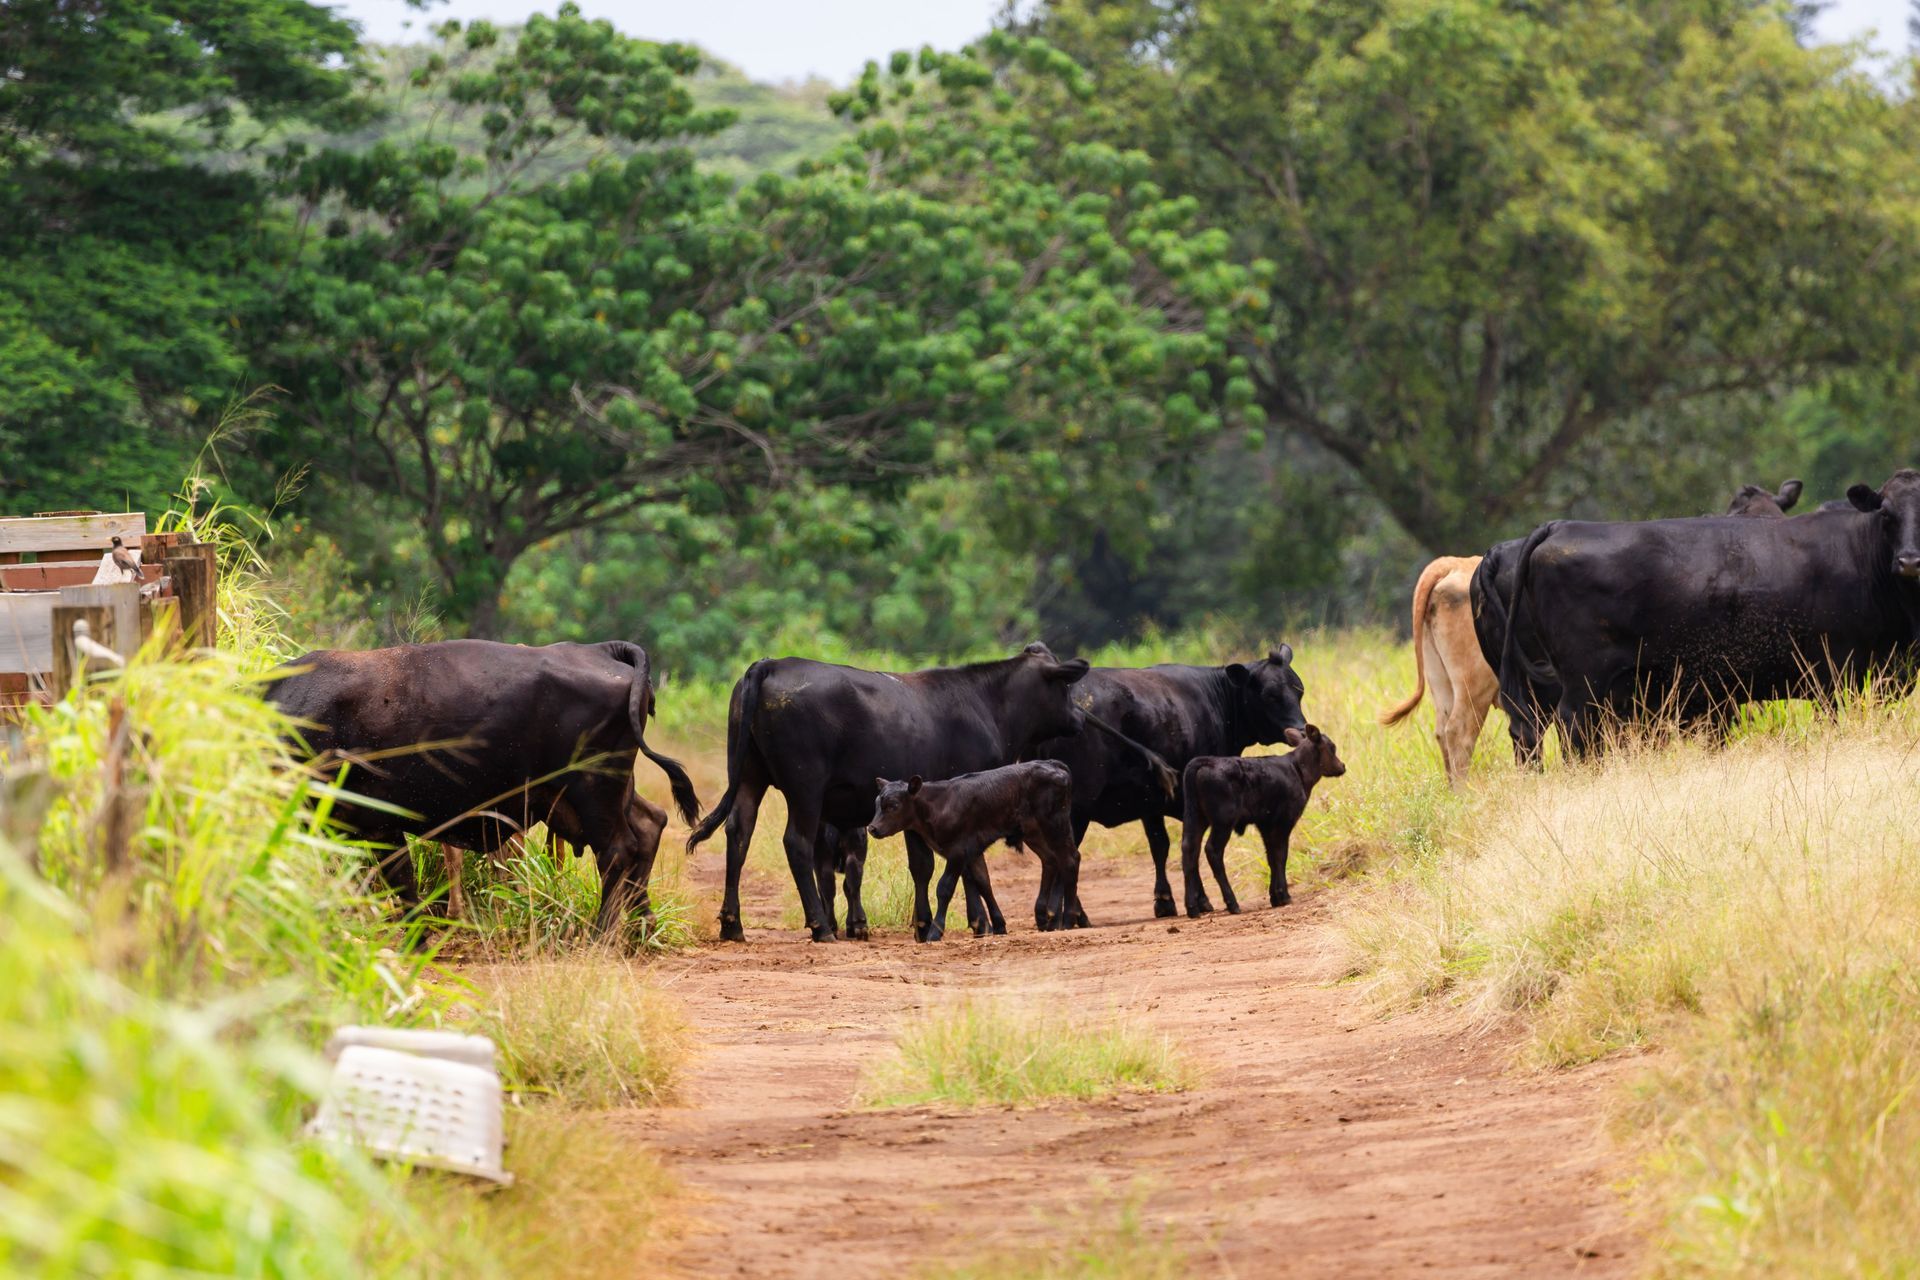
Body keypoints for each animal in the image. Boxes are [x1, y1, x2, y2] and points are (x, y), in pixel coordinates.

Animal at [266, 640, 700, 930]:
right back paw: (641, 926)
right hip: (594, 795)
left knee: (618, 851)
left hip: (593, 790)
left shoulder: (374, 825)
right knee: (649, 824)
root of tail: (599, 651)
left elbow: (400, 889)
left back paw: (601, 936)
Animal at [867, 762, 1082, 931]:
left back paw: (1068, 920)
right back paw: (1042, 917)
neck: (938, 805)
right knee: (1050, 860)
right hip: (1033, 832)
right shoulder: (973, 851)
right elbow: (983, 883)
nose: (872, 828)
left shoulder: (958, 851)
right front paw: (999, 926)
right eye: (877, 804)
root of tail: (1053, 764)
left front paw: (935, 932)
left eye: (893, 805)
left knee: (1070, 859)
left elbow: (944, 888)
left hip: (1055, 824)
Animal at [1179, 725, 1346, 918]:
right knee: (1212, 850)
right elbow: (1281, 855)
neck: (1298, 769)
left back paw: (1192, 908)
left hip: (1196, 817)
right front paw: (1284, 896)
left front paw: (1275, 897)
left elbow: (1271, 857)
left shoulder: (1266, 824)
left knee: (1189, 849)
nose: (1342, 766)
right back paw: (1232, 903)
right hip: (1223, 820)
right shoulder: (1284, 821)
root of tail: (1205, 761)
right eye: (1332, 747)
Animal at [1499, 469, 1920, 756]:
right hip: (1584, 679)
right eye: (1886, 515)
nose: (1909, 560)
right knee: (1573, 726)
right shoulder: (1835, 673)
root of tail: (1561, 526)